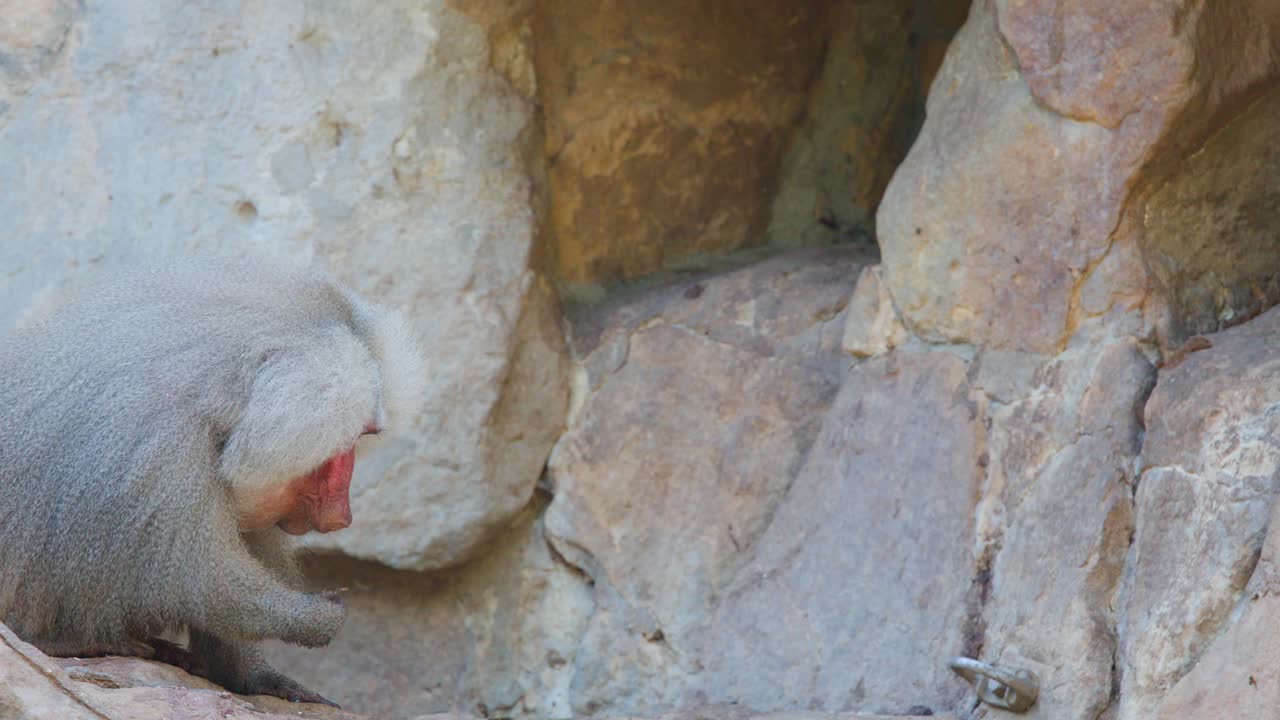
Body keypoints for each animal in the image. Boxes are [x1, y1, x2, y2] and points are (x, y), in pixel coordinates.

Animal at [0, 257, 425, 707]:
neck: (216, 400)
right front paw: (320, 615)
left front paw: (257, 677)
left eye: (360, 439)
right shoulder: (164, 460)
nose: (343, 516)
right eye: (349, 442)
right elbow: (207, 587)